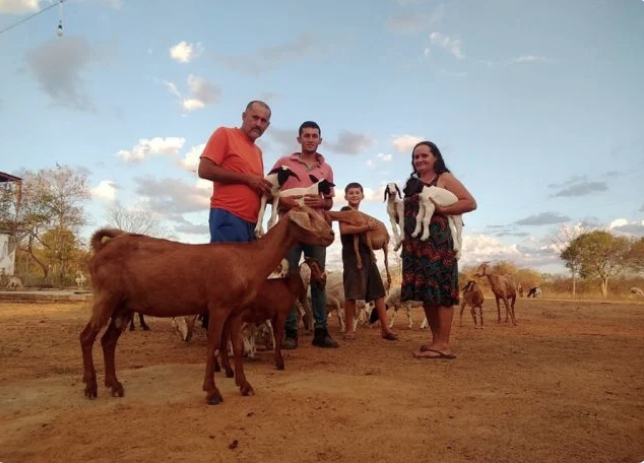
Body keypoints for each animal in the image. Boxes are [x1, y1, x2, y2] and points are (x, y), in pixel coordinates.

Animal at [78, 207, 334, 406]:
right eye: (310, 216)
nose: (331, 234)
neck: (247, 260)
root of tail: (100, 250)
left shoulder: (236, 311)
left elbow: (237, 346)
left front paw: (244, 385)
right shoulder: (218, 306)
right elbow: (213, 344)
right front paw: (212, 391)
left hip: (123, 306)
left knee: (108, 341)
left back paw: (115, 385)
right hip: (106, 296)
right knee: (87, 337)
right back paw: (91, 388)